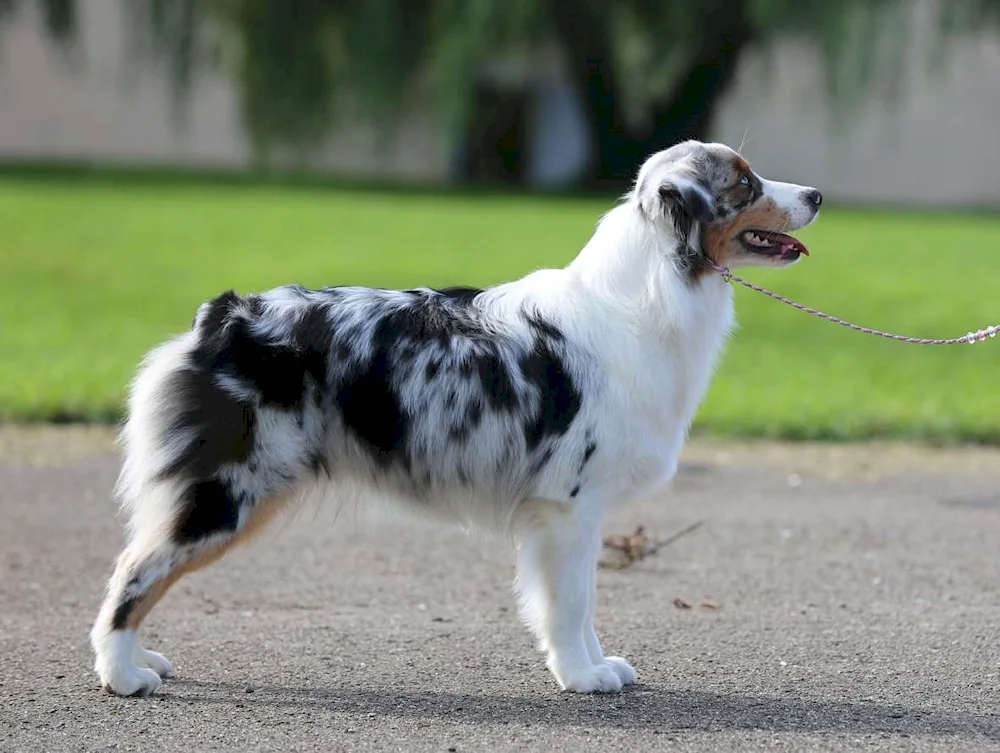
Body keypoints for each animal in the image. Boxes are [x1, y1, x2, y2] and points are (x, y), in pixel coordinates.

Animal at [88, 140, 820, 692]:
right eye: (745, 182)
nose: (815, 194)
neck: (649, 291)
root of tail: (225, 316)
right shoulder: (570, 504)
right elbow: (571, 601)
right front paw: (582, 676)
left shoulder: (574, 513)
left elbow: (575, 601)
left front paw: (592, 664)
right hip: (230, 490)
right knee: (135, 570)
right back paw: (123, 673)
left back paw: (141, 659)